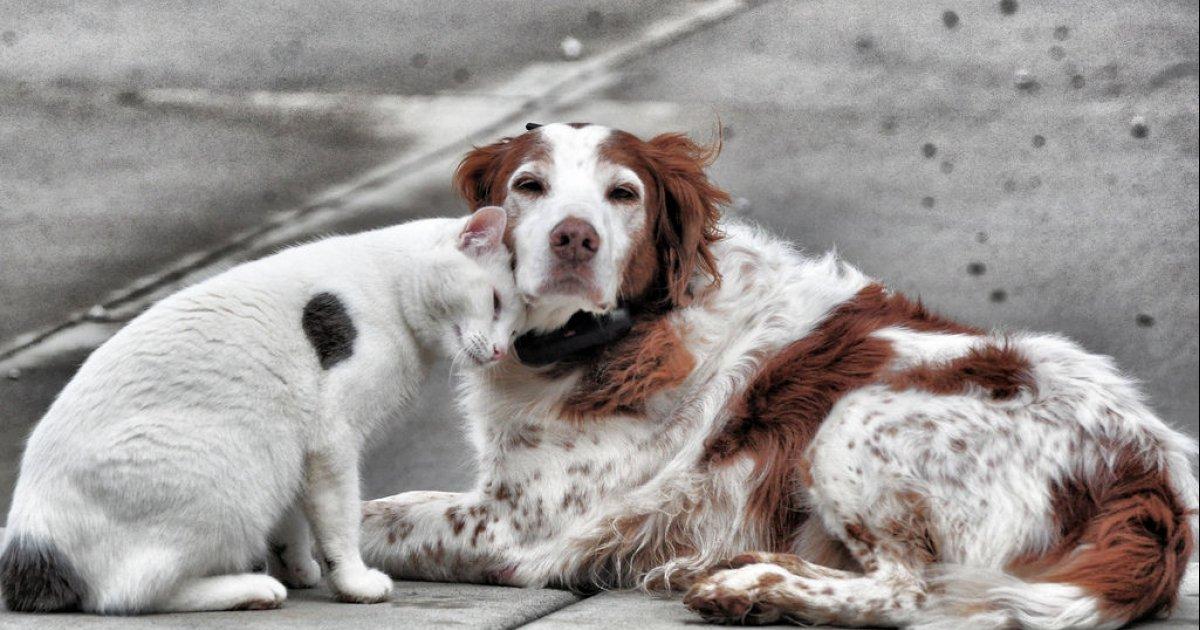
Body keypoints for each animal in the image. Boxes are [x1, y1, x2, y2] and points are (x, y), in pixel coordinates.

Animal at [2, 206, 523, 614]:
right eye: (496, 301)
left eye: (516, 325)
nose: (501, 351)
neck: (390, 287)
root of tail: (30, 540)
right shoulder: (332, 439)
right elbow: (340, 520)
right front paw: (354, 583)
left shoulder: (297, 446)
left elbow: (294, 517)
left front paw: (299, 566)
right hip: (229, 470)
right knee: (127, 594)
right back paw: (253, 588)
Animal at [357, 123, 1200, 628]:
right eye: (527, 186)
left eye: (623, 194)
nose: (574, 238)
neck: (611, 337)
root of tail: (1150, 478)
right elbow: (381, 506)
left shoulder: (525, 528)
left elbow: (379, 518)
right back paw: (738, 566)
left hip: (851, 424)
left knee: (906, 590)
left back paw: (750, 591)